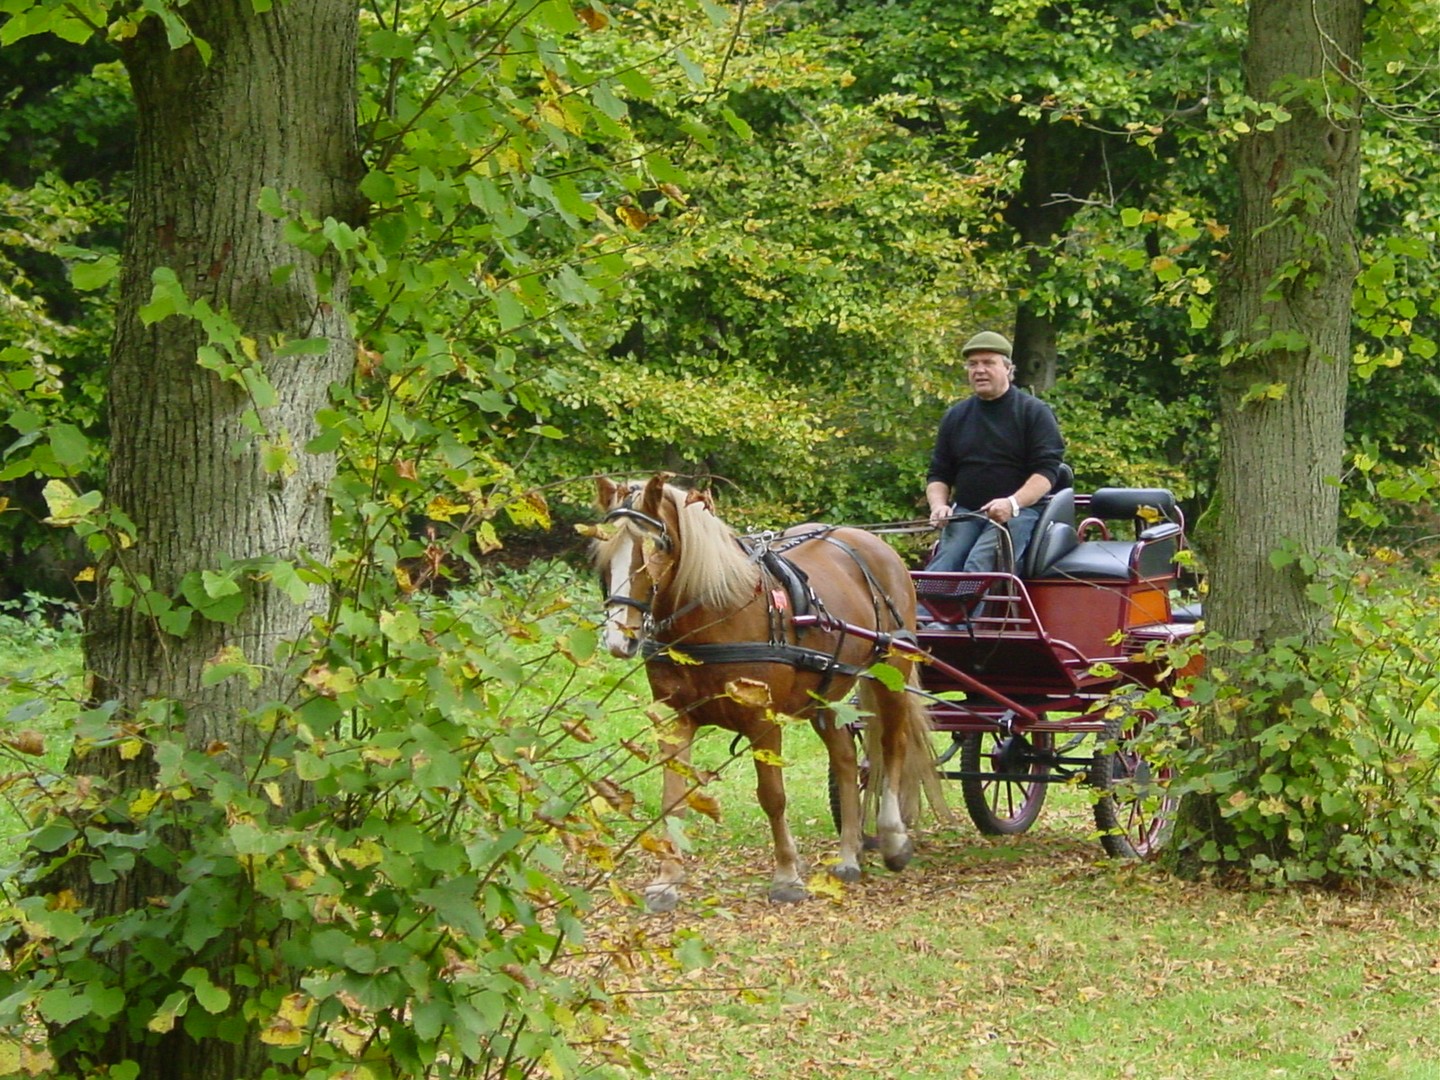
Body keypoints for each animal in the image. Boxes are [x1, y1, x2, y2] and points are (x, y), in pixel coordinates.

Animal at [587, 475, 944, 915]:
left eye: (657, 546)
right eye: (602, 553)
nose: (620, 639)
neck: (717, 612)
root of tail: (874, 545)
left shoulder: (762, 720)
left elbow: (772, 796)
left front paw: (787, 876)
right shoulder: (675, 718)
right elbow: (672, 797)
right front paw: (667, 880)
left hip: (890, 675)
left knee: (893, 748)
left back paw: (893, 838)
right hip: (827, 693)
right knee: (845, 761)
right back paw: (848, 855)